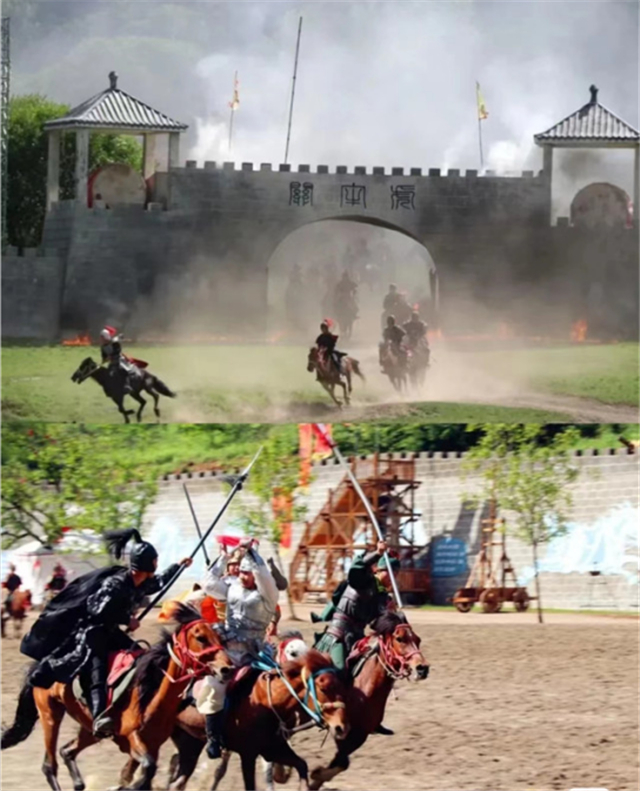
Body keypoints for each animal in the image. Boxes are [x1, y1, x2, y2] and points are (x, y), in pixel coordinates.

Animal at [1, 604, 234, 788]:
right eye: (201, 638)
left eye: (220, 638)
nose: (227, 669)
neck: (151, 697)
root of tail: (39, 665)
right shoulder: (132, 739)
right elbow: (146, 769)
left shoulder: (153, 745)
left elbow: (145, 774)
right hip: (50, 713)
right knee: (49, 766)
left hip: (90, 729)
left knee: (67, 751)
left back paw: (79, 783)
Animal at [168, 648, 348, 791]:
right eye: (323, 688)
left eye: (341, 685)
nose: (342, 728)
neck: (266, 702)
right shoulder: (248, 754)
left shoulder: (272, 748)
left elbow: (302, 765)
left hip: (190, 743)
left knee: (178, 780)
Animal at [306, 612, 428, 791]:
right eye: (399, 639)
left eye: (418, 639)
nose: (422, 668)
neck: (362, 688)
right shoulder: (341, 730)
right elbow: (342, 762)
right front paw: (315, 775)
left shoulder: (360, 734)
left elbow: (341, 763)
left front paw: (316, 779)